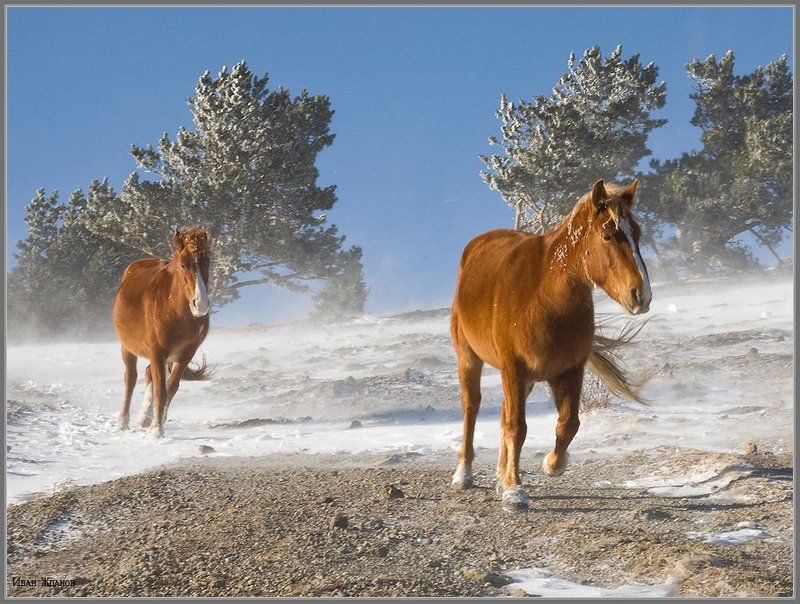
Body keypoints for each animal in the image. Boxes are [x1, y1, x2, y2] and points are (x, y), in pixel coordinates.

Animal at [112, 227, 212, 438]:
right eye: (183, 264)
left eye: (207, 262)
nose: (201, 305)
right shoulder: (158, 351)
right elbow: (161, 390)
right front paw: (157, 431)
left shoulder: (186, 352)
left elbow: (171, 386)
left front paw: (157, 422)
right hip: (128, 347)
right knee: (130, 378)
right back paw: (123, 422)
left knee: (149, 374)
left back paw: (145, 417)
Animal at [449, 179, 651, 509]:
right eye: (608, 235)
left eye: (637, 233)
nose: (641, 295)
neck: (544, 298)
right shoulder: (513, 368)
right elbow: (517, 428)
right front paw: (514, 490)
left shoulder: (569, 371)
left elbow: (568, 424)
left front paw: (552, 464)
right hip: (469, 359)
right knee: (472, 407)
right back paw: (463, 474)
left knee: (503, 412)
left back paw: (499, 475)